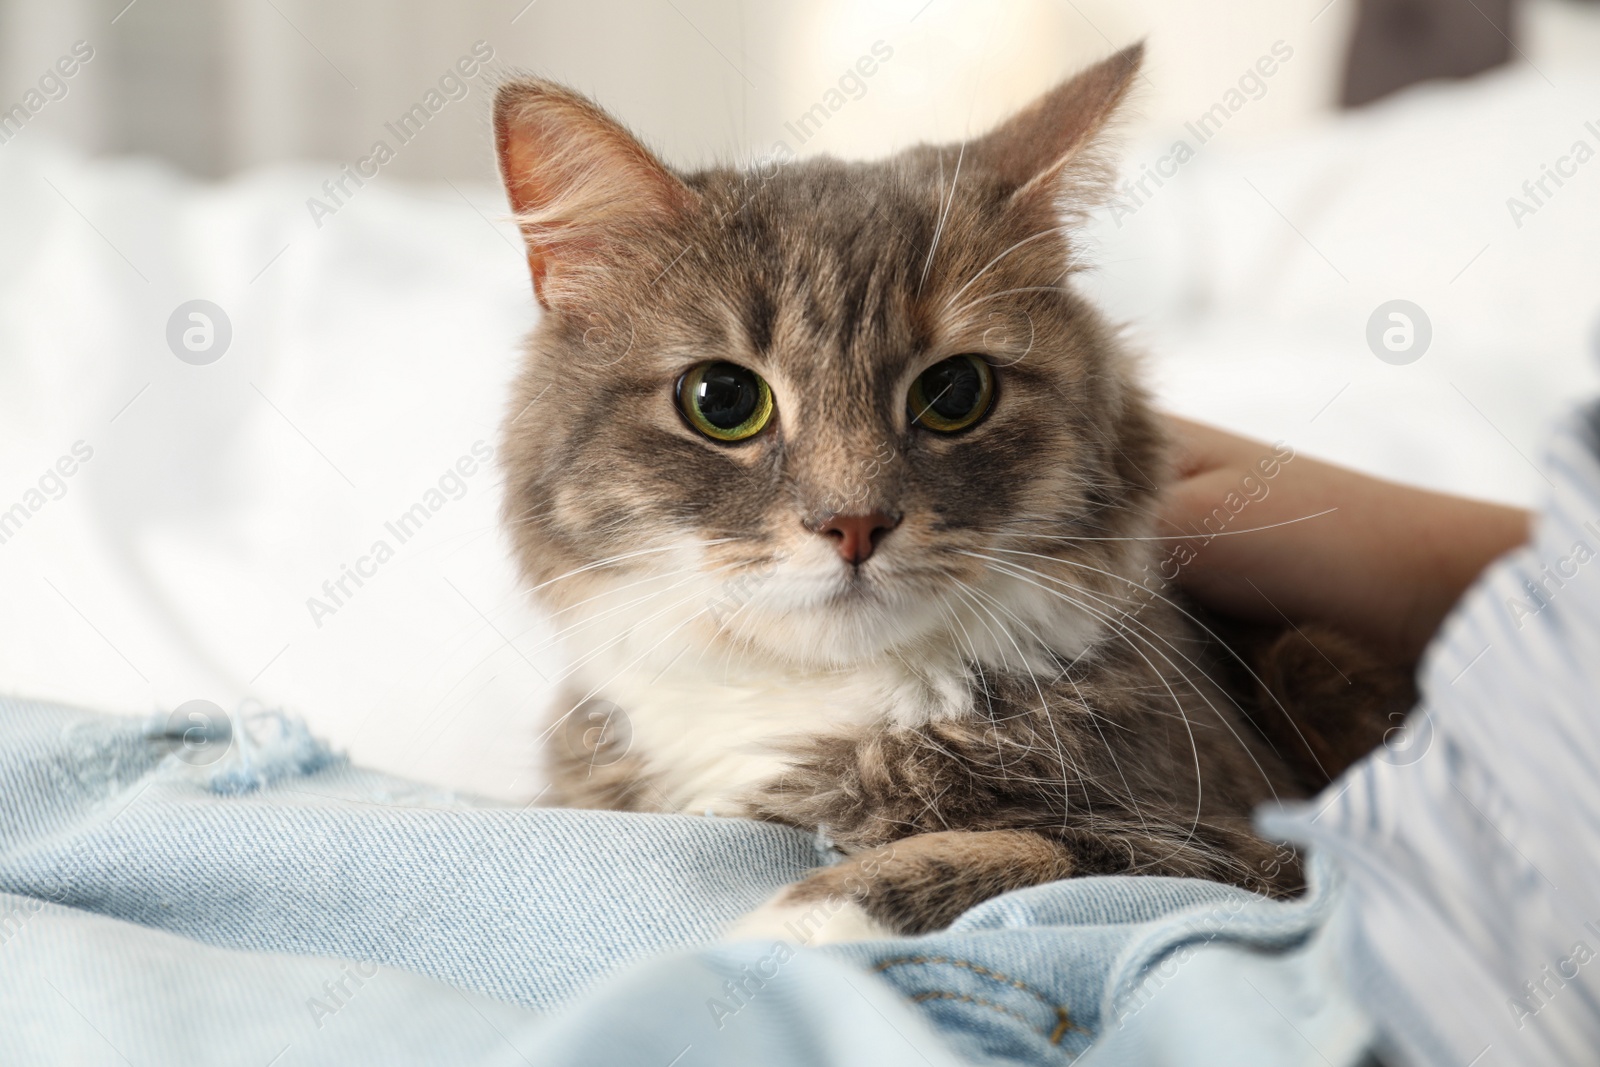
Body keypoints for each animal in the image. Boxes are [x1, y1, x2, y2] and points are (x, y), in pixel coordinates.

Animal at [489, 45, 1414, 940]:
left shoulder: (1240, 845)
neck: (811, 701)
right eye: (722, 400)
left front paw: (762, 935)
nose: (855, 522)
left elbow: (993, 852)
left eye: (955, 392)